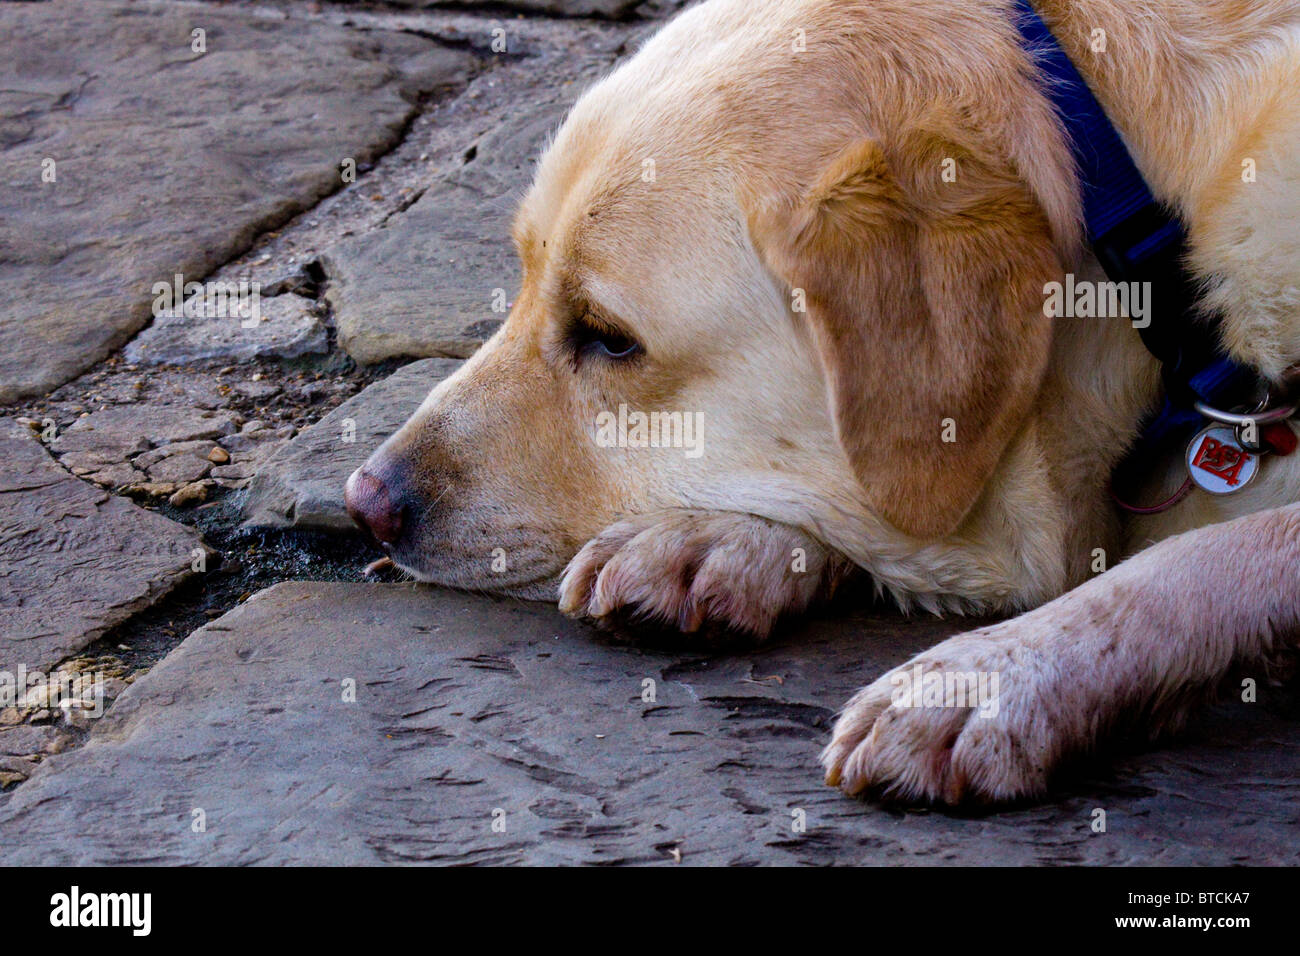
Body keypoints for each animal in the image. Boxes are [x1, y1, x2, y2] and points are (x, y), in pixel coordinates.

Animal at [343, 0, 1300, 806]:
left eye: (609, 338)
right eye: (521, 273)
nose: (366, 504)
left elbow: (1212, 551)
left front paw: (994, 678)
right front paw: (710, 540)